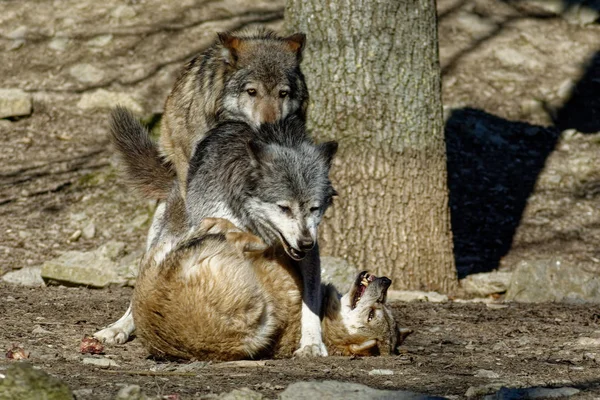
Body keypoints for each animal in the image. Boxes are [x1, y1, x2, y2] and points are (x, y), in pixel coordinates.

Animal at [96, 107, 336, 356]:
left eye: (314, 208)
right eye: (284, 207)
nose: (305, 242)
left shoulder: (309, 255)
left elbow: (310, 302)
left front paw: (311, 343)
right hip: (163, 239)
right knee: (138, 293)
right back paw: (118, 327)